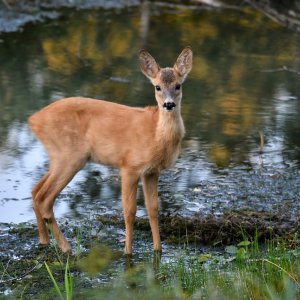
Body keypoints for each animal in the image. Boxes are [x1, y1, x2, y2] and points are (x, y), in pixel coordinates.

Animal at [28, 47, 192, 253]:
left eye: (178, 85)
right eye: (157, 87)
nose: (169, 104)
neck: (156, 134)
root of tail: (33, 120)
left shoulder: (152, 171)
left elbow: (153, 209)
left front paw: (158, 250)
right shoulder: (129, 165)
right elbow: (129, 211)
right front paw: (128, 252)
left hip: (58, 156)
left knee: (35, 191)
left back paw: (44, 241)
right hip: (70, 155)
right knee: (44, 198)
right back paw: (67, 248)